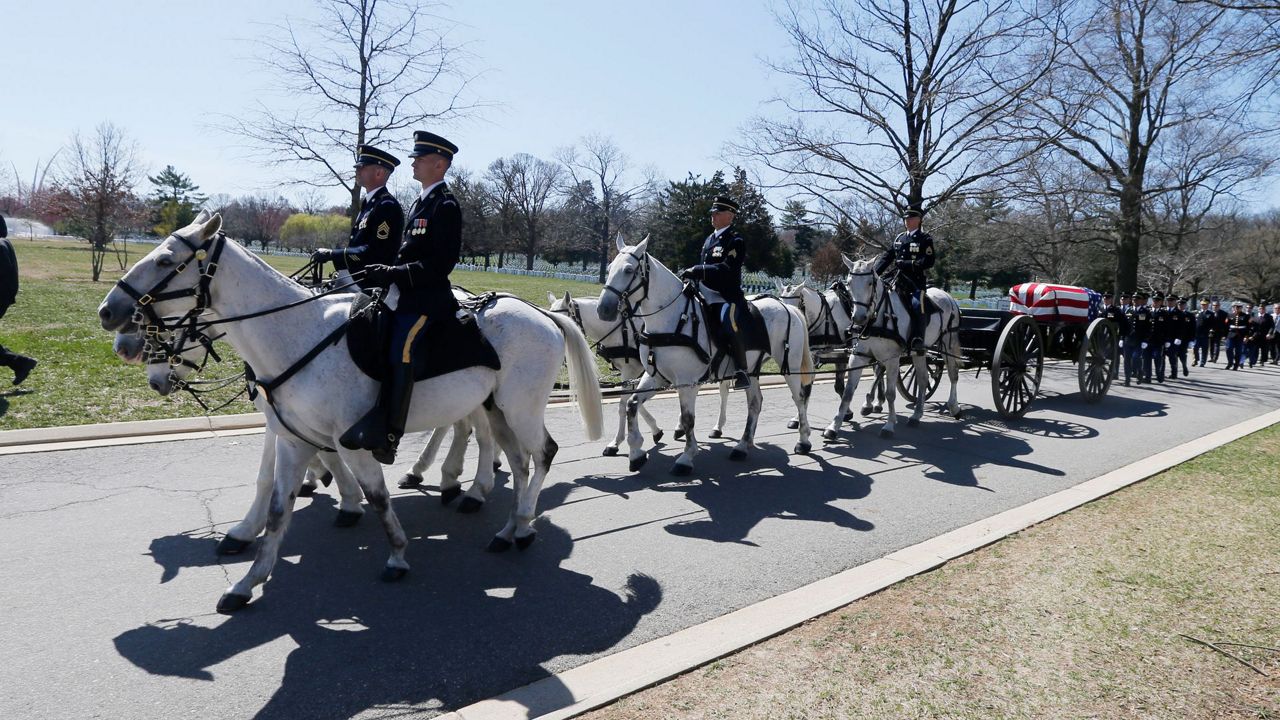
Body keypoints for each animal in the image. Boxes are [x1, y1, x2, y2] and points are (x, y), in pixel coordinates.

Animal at [97, 213, 601, 609]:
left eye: (166, 261)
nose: (110, 314)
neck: (294, 332)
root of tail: (542, 313)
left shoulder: (350, 438)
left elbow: (373, 494)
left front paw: (391, 548)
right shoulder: (291, 434)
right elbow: (277, 502)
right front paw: (249, 573)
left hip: (520, 408)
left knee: (539, 453)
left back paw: (507, 516)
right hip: (495, 407)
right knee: (510, 456)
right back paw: (507, 523)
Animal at [591, 234, 808, 471]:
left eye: (629, 270)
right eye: (609, 268)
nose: (603, 309)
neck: (672, 318)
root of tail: (789, 308)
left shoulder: (687, 382)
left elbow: (688, 419)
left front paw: (686, 457)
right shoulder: (656, 376)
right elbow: (631, 405)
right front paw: (636, 452)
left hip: (790, 367)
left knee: (799, 398)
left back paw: (803, 440)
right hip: (751, 371)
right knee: (755, 403)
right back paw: (742, 446)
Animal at [819, 254, 962, 440]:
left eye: (870, 283)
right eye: (849, 283)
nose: (858, 318)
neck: (878, 317)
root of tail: (948, 297)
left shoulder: (892, 359)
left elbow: (890, 393)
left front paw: (888, 425)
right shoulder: (858, 356)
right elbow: (847, 393)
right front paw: (834, 426)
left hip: (948, 345)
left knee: (953, 375)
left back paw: (954, 407)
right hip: (919, 351)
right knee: (923, 379)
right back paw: (916, 415)